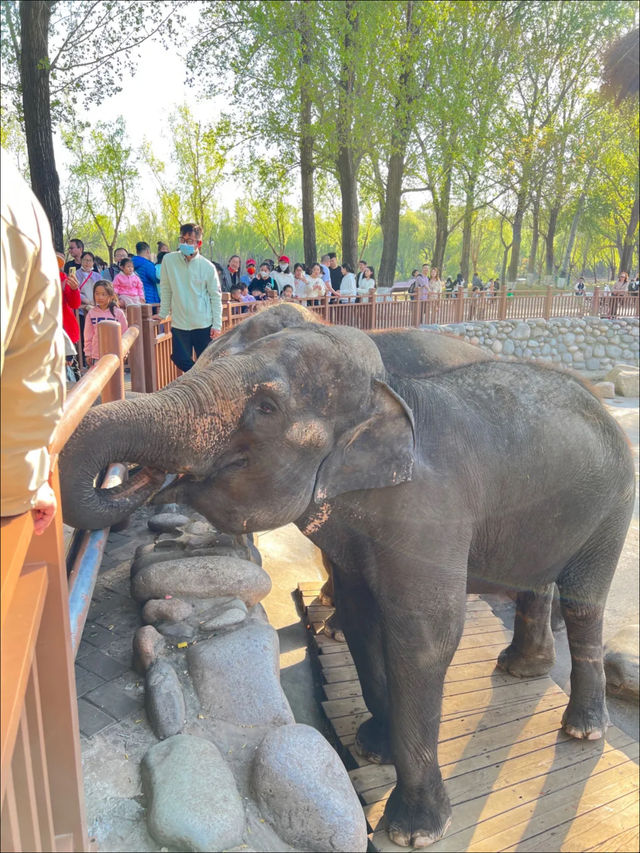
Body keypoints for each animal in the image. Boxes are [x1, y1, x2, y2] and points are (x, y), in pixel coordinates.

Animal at [61, 320, 636, 844]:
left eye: (266, 407)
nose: (149, 476)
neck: (390, 390)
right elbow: (363, 619)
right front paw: (373, 745)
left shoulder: (431, 514)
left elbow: (425, 637)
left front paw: (413, 831)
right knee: (538, 581)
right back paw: (521, 669)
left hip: (615, 503)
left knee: (584, 603)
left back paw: (583, 728)